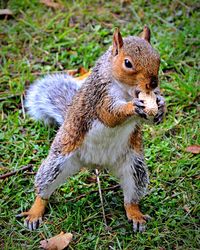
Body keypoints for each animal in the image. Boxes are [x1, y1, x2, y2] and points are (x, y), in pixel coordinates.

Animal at [18, 25, 166, 232]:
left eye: (157, 57)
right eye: (127, 63)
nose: (153, 83)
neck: (127, 91)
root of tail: (96, 163)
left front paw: (160, 106)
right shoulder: (100, 96)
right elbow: (109, 115)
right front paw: (132, 107)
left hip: (134, 166)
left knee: (131, 197)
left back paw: (135, 214)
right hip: (59, 161)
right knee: (44, 188)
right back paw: (34, 212)